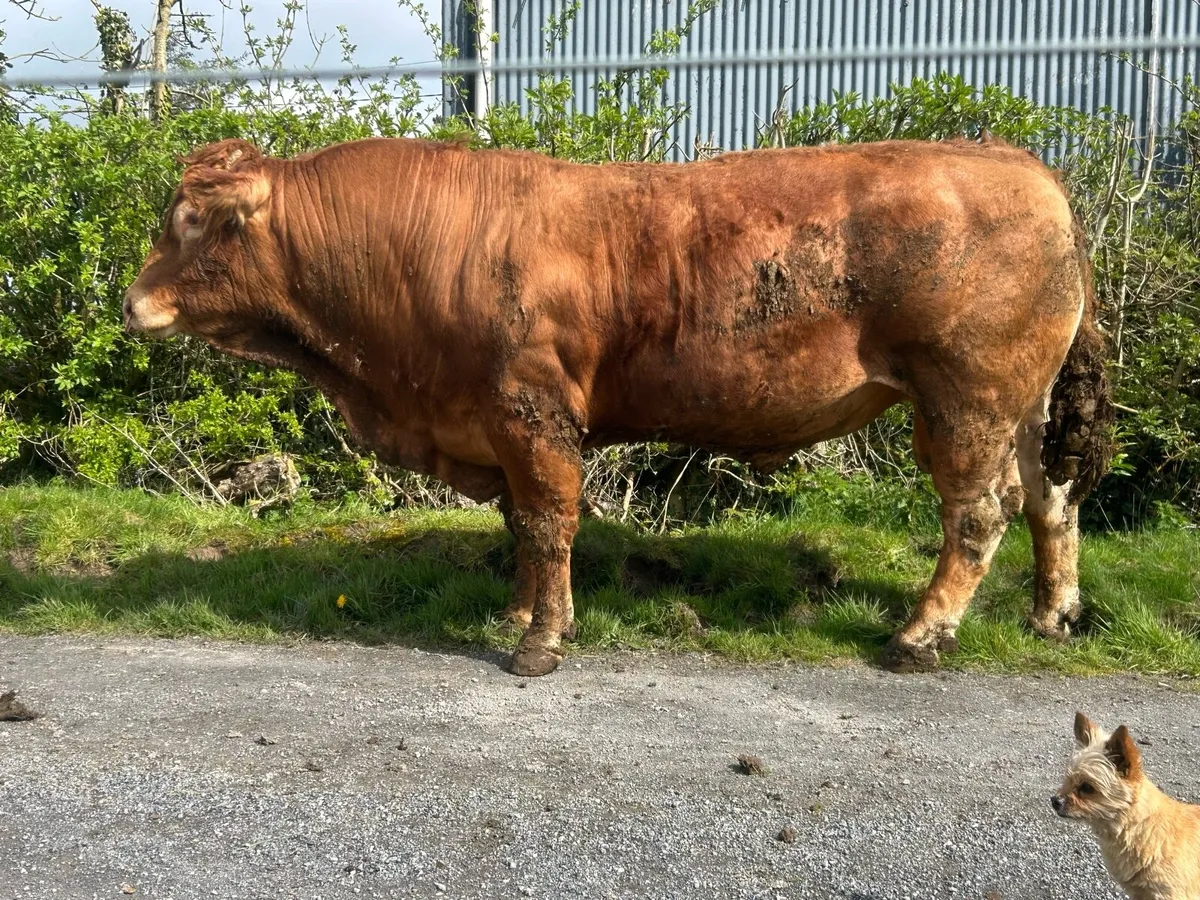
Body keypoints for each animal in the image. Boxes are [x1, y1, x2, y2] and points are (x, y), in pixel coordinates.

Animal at [124, 135, 1113, 678]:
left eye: (190, 224)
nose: (132, 302)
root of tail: (1016, 163)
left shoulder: (531, 412)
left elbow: (550, 520)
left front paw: (541, 640)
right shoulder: (499, 426)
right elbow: (524, 527)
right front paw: (520, 614)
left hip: (966, 402)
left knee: (977, 514)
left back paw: (921, 634)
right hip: (1022, 410)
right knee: (1050, 500)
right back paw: (1051, 614)